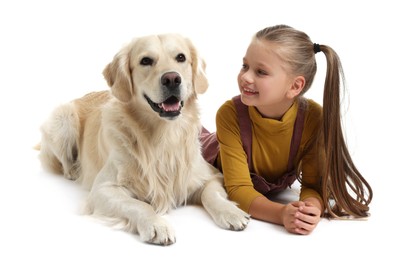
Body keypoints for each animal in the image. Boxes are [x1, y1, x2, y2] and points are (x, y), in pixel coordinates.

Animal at [38, 34, 249, 246]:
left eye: (181, 57)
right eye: (145, 61)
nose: (172, 79)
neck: (164, 136)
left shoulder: (211, 175)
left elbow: (211, 194)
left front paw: (231, 212)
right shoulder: (102, 190)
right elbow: (138, 204)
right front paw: (157, 225)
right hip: (64, 118)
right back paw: (74, 171)